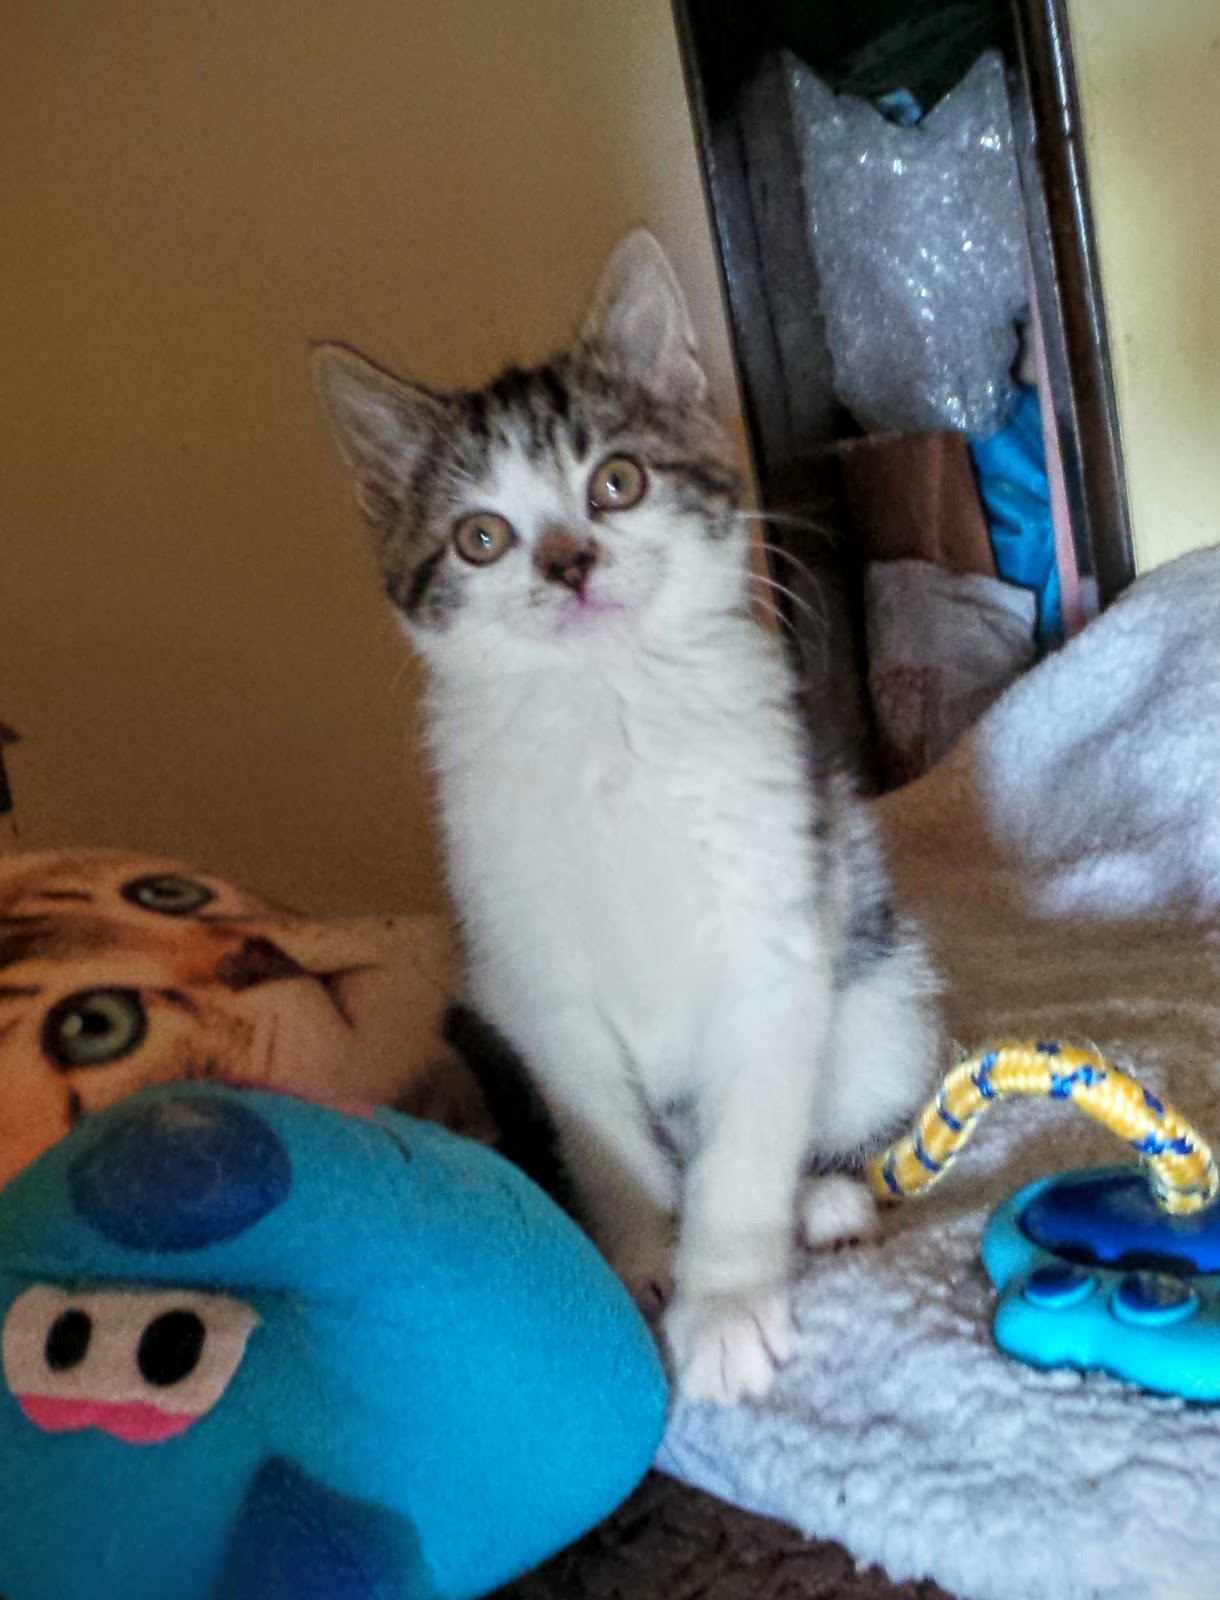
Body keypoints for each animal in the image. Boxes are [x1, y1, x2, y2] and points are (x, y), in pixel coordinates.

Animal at [312, 231, 941, 1403]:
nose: (568, 563)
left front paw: (727, 1301)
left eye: (616, 482)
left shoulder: (775, 933)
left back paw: (824, 1199)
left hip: (881, 1002)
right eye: (479, 537)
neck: (609, 717)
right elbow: (605, 1136)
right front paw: (646, 1261)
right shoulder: (532, 974)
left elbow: (748, 1135)